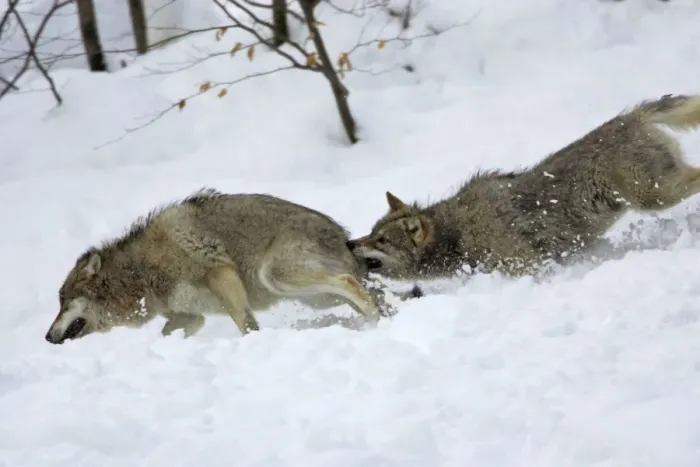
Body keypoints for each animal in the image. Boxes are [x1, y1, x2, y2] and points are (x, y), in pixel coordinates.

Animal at [45, 188, 406, 344]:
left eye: (63, 302)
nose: (47, 337)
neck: (141, 272)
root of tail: (343, 237)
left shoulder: (223, 277)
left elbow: (245, 324)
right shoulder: (190, 317)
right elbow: (165, 335)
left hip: (277, 276)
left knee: (348, 281)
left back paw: (374, 322)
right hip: (316, 298)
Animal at [349, 94, 700, 280]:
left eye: (381, 240)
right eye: (371, 232)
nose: (350, 243)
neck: (457, 233)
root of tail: (634, 116)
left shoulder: (531, 268)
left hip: (654, 196)